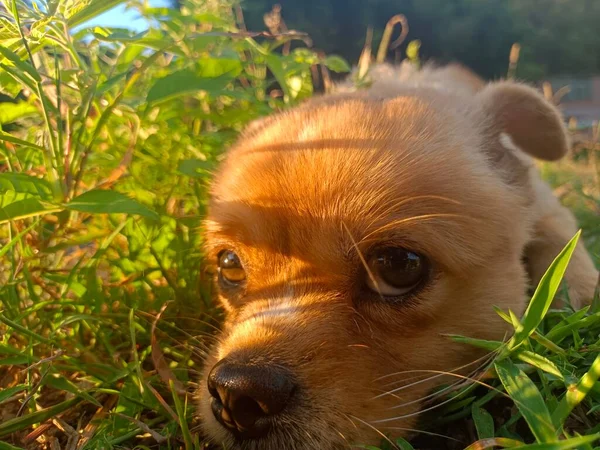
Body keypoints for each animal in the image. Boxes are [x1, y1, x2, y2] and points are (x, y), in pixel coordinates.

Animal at [196, 61, 596, 448]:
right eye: (229, 265)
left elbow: (563, 240)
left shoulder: (549, 207)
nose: (237, 393)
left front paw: (581, 294)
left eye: (398, 265)